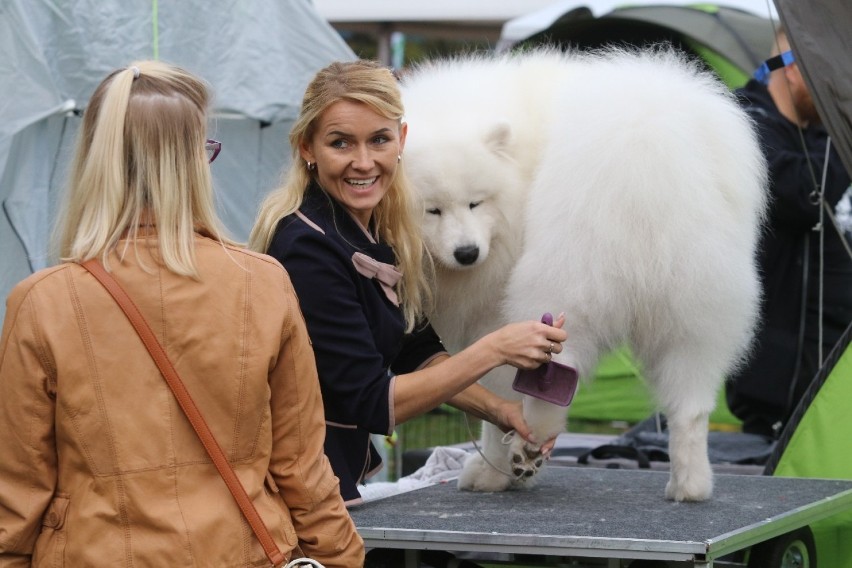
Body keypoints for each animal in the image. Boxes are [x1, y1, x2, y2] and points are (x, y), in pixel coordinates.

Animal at [402, 48, 768, 502]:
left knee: (554, 374)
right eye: (432, 210)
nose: (467, 254)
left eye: (475, 203)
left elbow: (497, 396)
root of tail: (651, 145)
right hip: (695, 308)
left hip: (560, 281)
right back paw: (690, 485)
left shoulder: (491, 318)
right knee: (691, 405)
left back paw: (527, 451)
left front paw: (491, 473)